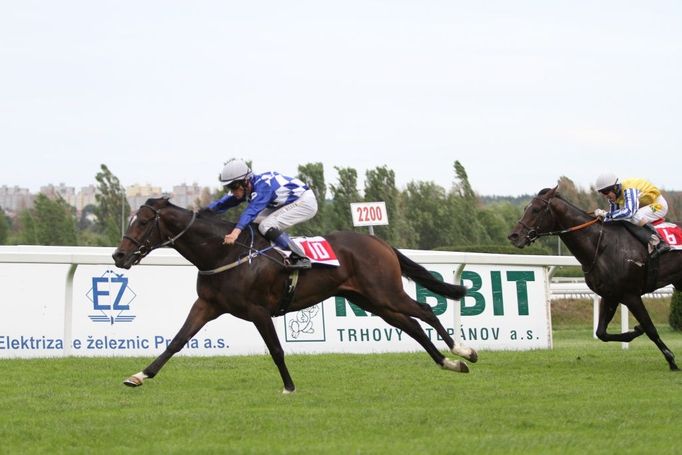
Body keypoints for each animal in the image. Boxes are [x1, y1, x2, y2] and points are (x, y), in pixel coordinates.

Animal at [111, 198, 476, 394]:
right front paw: (139, 375)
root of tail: (378, 242)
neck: (225, 253)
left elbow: (275, 349)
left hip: (385, 292)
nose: (118, 255)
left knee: (425, 310)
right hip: (371, 300)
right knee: (410, 326)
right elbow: (176, 341)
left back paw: (463, 351)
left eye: (143, 222)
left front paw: (289, 387)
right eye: (130, 219)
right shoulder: (207, 305)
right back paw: (449, 363)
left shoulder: (257, 310)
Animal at [508, 186, 680, 370]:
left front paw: (671, 359)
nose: (514, 236)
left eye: (536, 209)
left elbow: (650, 328)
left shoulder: (631, 295)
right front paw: (635, 331)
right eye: (525, 208)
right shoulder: (610, 295)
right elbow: (601, 333)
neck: (601, 245)